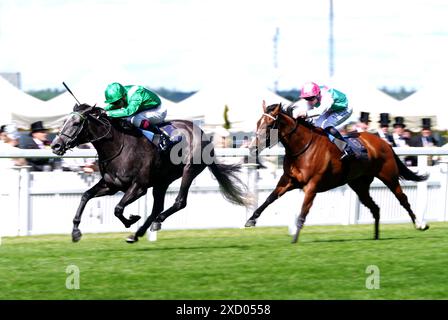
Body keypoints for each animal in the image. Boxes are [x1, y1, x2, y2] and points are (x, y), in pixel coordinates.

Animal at [51, 104, 252, 242]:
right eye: (64, 122)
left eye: (76, 123)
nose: (55, 145)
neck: (117, 146)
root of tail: (202, 133)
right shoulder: (110, 185)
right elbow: (85, 196)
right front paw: (76, 232)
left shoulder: (139, 187)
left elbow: (118, 209)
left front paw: (131, 219)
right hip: (162, 180)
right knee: (158, 207)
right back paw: (138, 233)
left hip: (189, 170)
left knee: (179, 202)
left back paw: (156, 222)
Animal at [245, 101, 430, 244]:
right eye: (257, 123)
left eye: (270, 125)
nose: (252, 147)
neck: (302, 148)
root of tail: (385, 142)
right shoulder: (288, 181)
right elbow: (269, 198)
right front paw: (251, 219)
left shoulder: (312, 186)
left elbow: (303, 211)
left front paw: (295, 238)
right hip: (359, 185)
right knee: (375, 208)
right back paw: (376, 237)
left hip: (389, 177)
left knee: (403, 199)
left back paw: (420, 224)